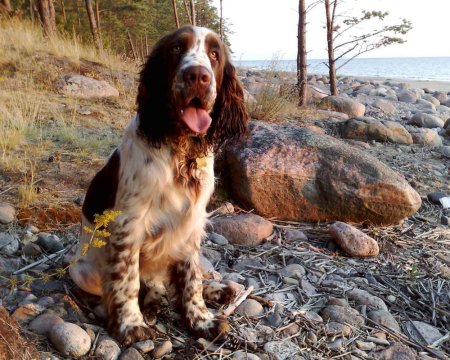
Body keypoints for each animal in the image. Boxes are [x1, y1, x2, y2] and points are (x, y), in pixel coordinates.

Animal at [68, 26, 248, 344]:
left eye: (215, 54)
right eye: (176, 48)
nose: (198, 76)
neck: (181, 152)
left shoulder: (192, 224)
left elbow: (191, 277)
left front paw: (201, 319)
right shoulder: (129, 223)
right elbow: (126, 278)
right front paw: (130, 323)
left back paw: (216, 290)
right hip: (83, 272)